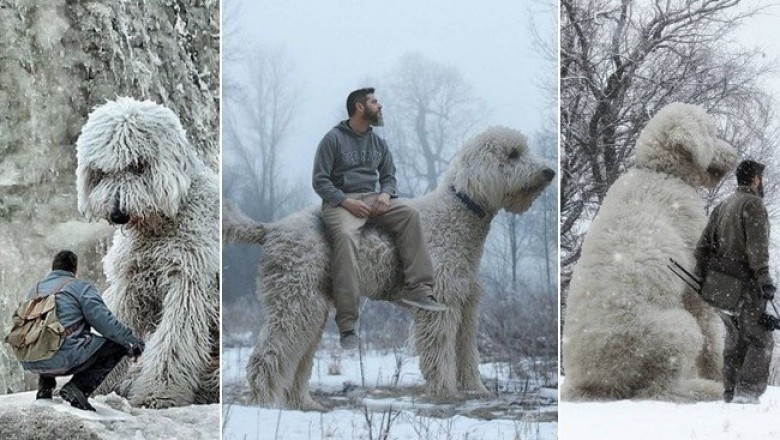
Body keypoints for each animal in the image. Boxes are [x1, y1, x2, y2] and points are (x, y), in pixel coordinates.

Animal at [75, 98, 219, 408]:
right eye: (102, 171)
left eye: (138, 165)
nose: (118, 213)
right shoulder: (131, 282)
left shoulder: (188, 284)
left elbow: (174, 340)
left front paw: (158, 394)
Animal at [224, 126, 556, 410]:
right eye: (512, 154)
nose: (549, 172)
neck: (455, 218)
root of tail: (270, 229)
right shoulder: (440, 307)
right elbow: (441, 352)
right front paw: (445, 392)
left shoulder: (465, 304)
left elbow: (466, 351)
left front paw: (476, 390)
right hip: (295, 302)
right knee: (268, 355)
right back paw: (267, 402)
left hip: (310, 308)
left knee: (297, 360)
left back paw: (302, 403)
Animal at [564, 103, 736, 402]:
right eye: (712, 133)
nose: (735, 154)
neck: (660, 171)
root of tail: (596, 384)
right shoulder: (694, 264)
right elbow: (710, 334)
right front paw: (719, 376)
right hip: (668, 333)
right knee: (658, 388)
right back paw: (705, 389)